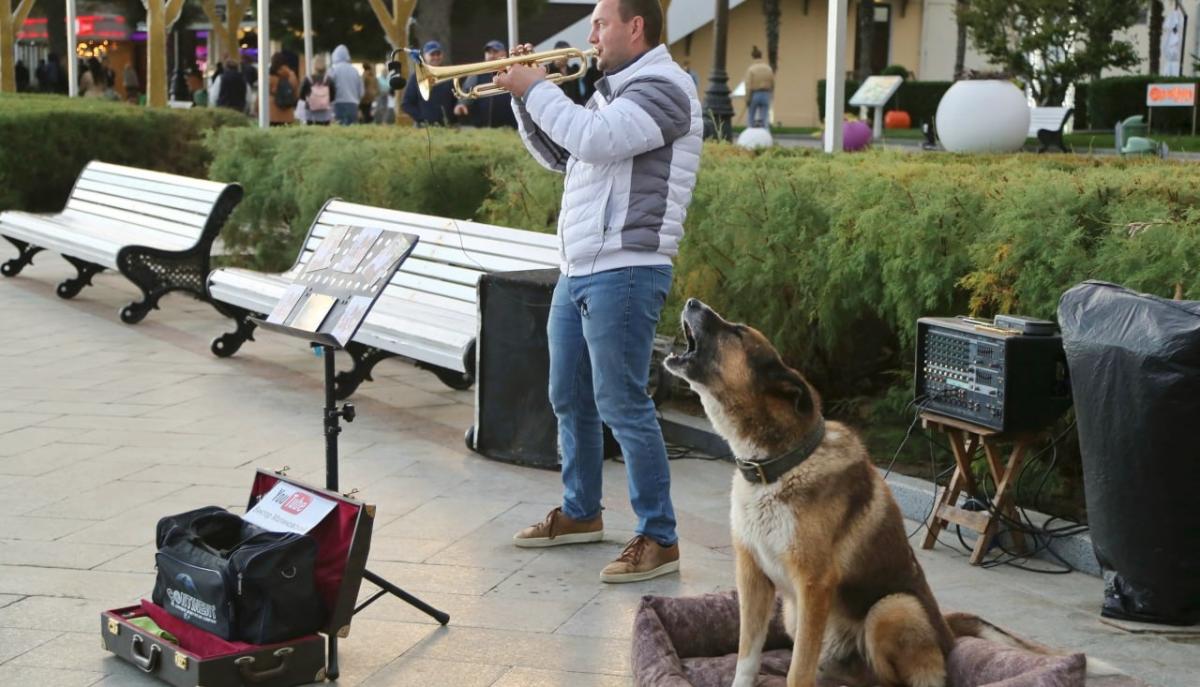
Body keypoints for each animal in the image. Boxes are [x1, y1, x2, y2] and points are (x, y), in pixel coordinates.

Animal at [667, 300, 1080, 687]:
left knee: (889, 676)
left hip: (892, 608)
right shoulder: (753, 579)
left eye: (736, 332)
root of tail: (948, 634)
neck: (779, 465)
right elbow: (746, 658)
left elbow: (797, 672)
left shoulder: (814, 585)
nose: (690, 302)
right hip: (794, 613)